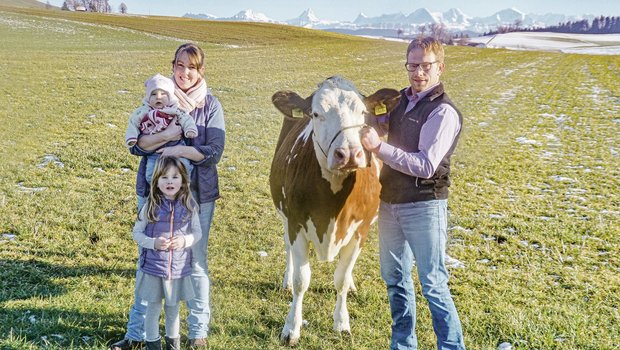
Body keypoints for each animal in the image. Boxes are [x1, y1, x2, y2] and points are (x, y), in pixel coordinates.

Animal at [268, 75, 400, 346]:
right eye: (316, 114)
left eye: (363, 113)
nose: (348, 154)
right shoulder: (295, 223)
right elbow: (301, 280)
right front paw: (292, 328)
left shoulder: (361, 230)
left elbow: (341, 278)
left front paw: (341, 323)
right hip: (283, 215)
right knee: (287, 250)